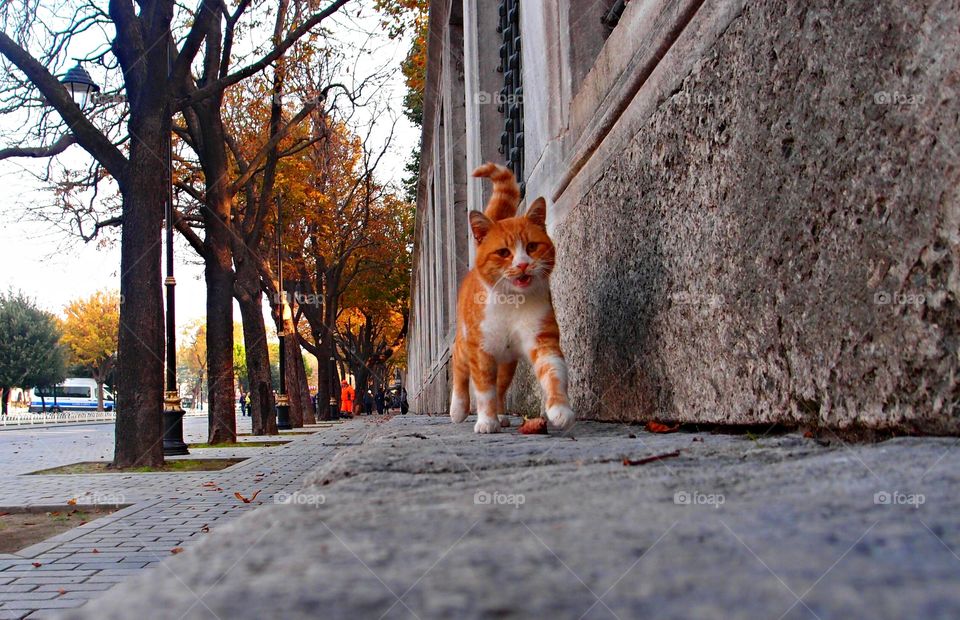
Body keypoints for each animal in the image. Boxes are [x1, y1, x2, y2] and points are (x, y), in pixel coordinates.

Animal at [448, 165, 572, 436]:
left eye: (532, 246)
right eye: (504, 252)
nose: (523, 264)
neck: (512, 301)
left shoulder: (542, 338)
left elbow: (554, 373)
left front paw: (560, 409)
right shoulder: (481, 351)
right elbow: (483, 390)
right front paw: (486, 421)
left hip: (507, 364)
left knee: (501, 388)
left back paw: (502, 414)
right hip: (466, 343)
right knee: (461, 371)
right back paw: (458, 409)